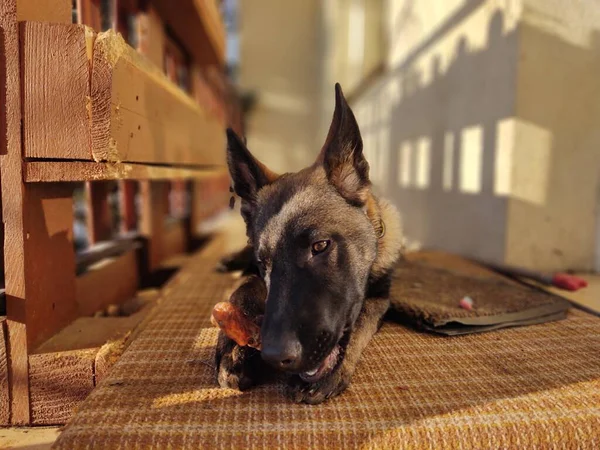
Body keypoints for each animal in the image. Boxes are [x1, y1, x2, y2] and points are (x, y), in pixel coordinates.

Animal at [213, 81, 400, 404]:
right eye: (264, 263)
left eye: (320, 246)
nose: (275, 356)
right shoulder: (253, 269)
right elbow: (244, 287)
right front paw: (235, 348)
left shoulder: (380, 296)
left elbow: (362, 320)